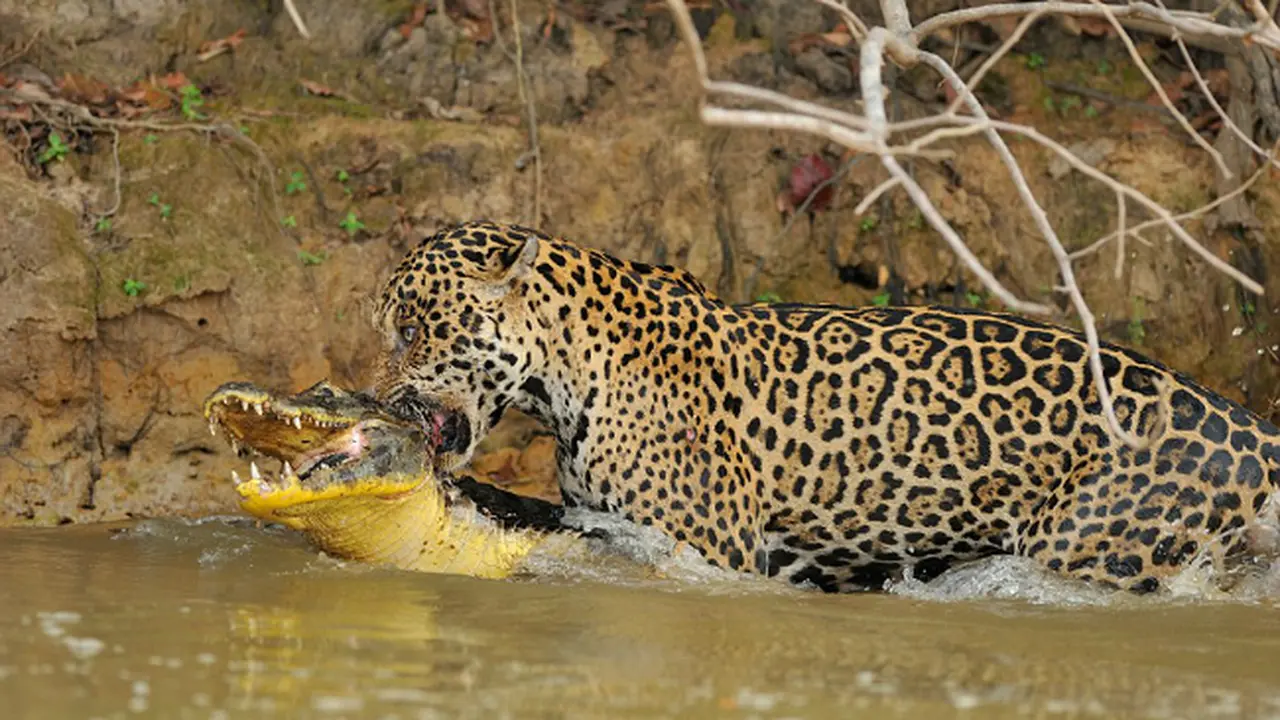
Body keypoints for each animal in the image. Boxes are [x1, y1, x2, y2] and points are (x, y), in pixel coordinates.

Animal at [371, 220, 1280, 593]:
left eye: (411, 330)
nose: (378, 400)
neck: (564, 374)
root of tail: (1250, 427)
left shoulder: (708, 552)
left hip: (1093, 547)